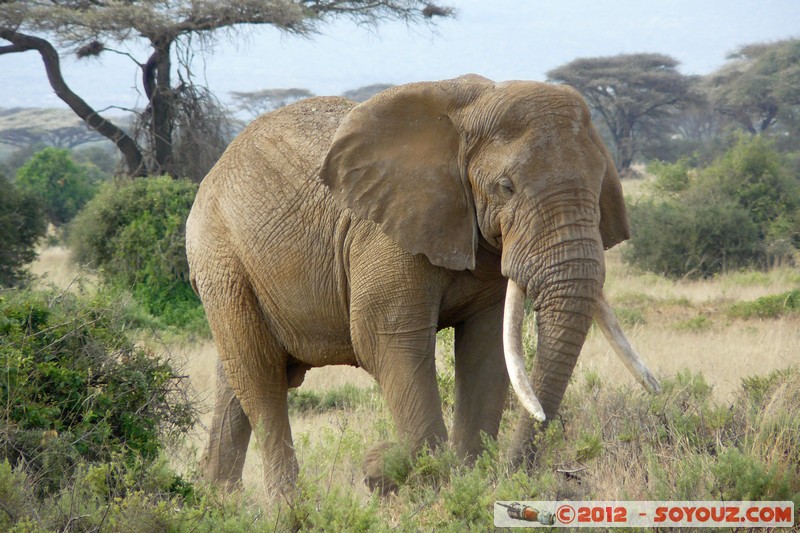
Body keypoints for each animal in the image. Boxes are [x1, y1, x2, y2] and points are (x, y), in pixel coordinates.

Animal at [184, 75, 660, 498]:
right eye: (506, 188)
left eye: (600, 185)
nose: (515, 475)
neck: (472, 112)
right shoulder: (385, 234)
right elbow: (387, 340)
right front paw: (402, 475)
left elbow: (486, 350)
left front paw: (466, 487)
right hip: (222, 259)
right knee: (260, 377)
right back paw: (289, 511)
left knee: (236, 377)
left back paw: (219, 503)